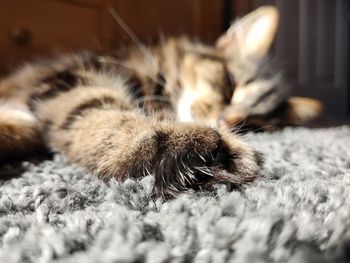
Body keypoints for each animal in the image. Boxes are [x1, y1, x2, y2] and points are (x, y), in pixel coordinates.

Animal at [0, 6, 320, 197]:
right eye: (230, 85)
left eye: (252, 123)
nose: (226, 121)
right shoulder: (69, 77)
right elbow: (95, 109)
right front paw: (183, 144)